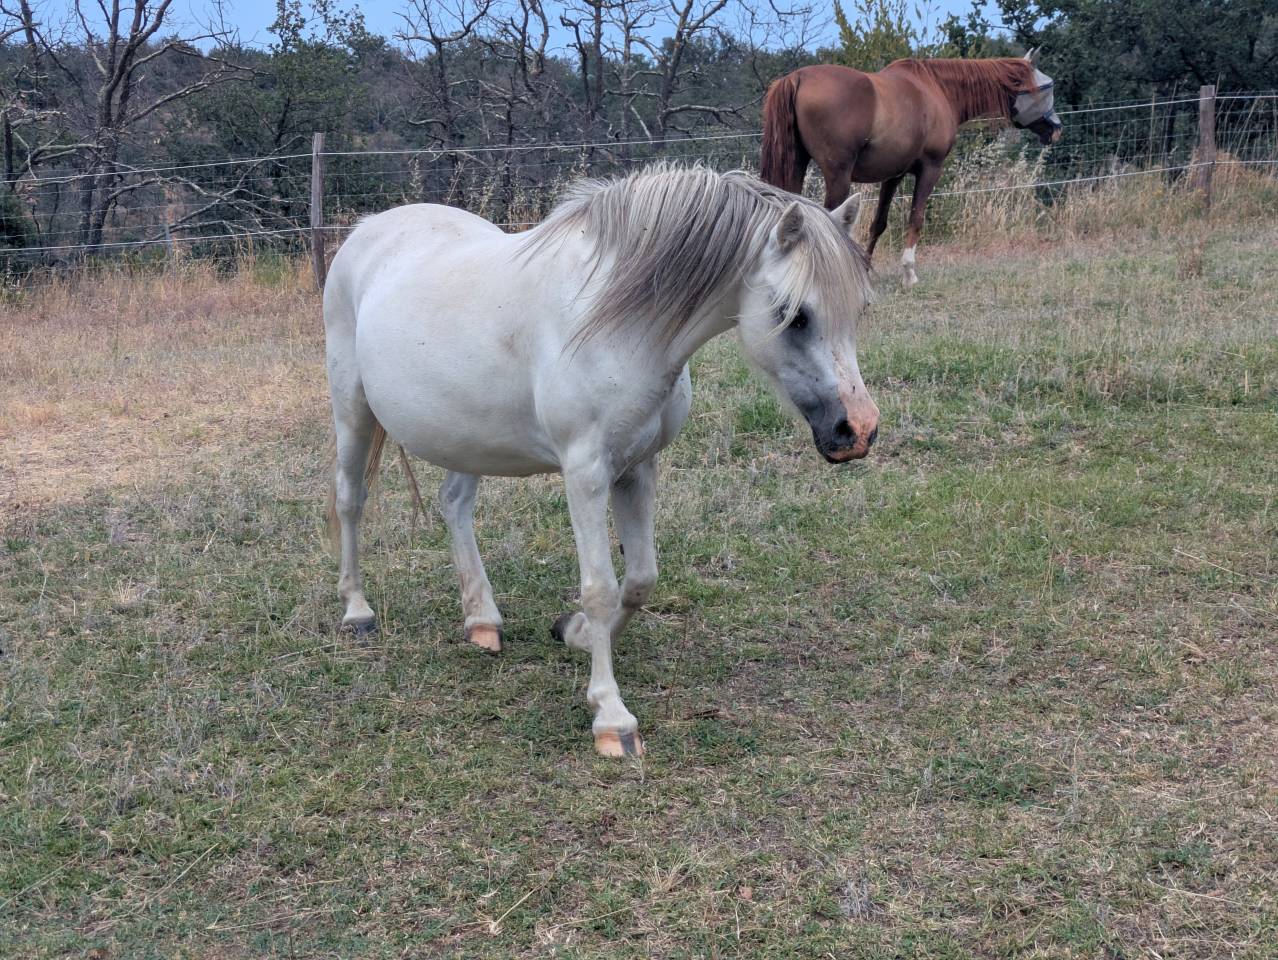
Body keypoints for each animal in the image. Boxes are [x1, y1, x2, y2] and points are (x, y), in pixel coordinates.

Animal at [323, 164, 880, 758]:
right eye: (794, 315)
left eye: (859, 310)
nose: (858, 431)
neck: (616, 320)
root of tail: (367, 228)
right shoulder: (585, 472)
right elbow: (599, 587)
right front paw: (612, 718)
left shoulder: (637, 468)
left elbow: (639, 578)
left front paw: (575, 634)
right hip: (352, 409)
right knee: (351, 500)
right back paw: (357, 611)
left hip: (465, 437)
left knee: (453, 506)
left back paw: (482, 620)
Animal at [760, 52, 1062, 288]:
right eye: (1048, 86)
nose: (1057, 130)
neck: (938, 89)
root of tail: (797, 78)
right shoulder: (930, 168)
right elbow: (916, 218)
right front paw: (909, 274)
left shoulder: (893, 175)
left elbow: (879, 223)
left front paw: (865, 268)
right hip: (838, 176)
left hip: (797, 166)